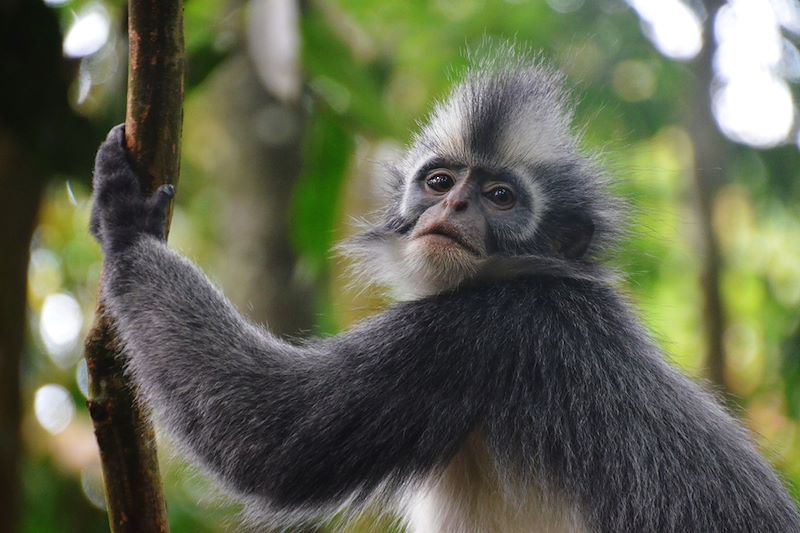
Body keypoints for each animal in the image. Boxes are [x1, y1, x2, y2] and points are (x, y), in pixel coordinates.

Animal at [90, 53, 800, 532]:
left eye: (500, 197)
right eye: (439, 182)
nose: (454, 207)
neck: (525, 278)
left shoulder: (486, 333)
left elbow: (266, 438)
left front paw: (126, 229)